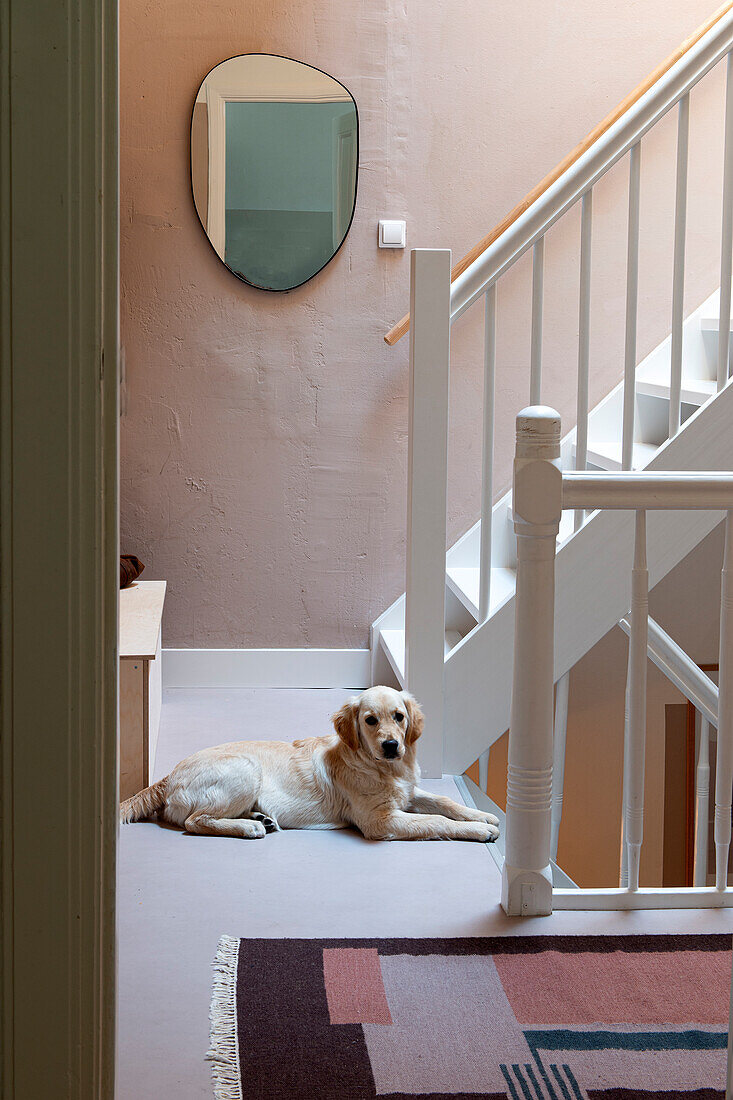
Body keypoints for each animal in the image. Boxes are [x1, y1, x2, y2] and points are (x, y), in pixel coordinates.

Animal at [121, 686, 497, 840]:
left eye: (399, 716)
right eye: (370, 720)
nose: (391, 746)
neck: (384, 768)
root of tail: (168, 775)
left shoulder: (407, 793)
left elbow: (444, 802)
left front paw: (482, 816)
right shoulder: (379, 821)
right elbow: (435, 821)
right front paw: (480, 831)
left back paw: (259, 818)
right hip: (245, 770)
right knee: (194, 821)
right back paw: (249, 827)